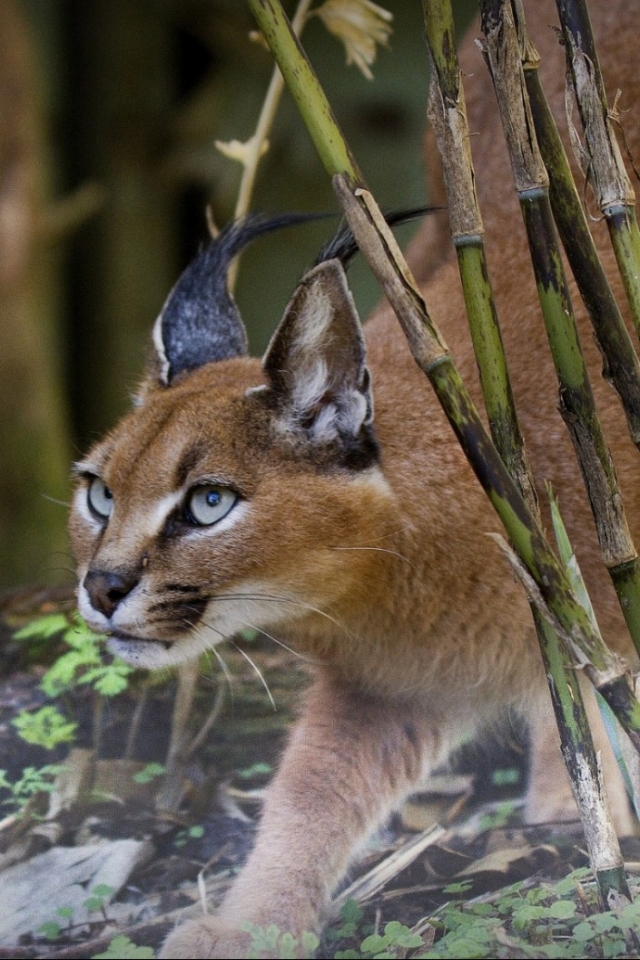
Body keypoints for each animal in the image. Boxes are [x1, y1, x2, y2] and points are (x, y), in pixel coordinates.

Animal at [69, 0, 640, 952]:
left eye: (209, 503)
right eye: (99, 492)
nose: (102, 587)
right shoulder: (386, 685)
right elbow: (310, 792)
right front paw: (252, 925)